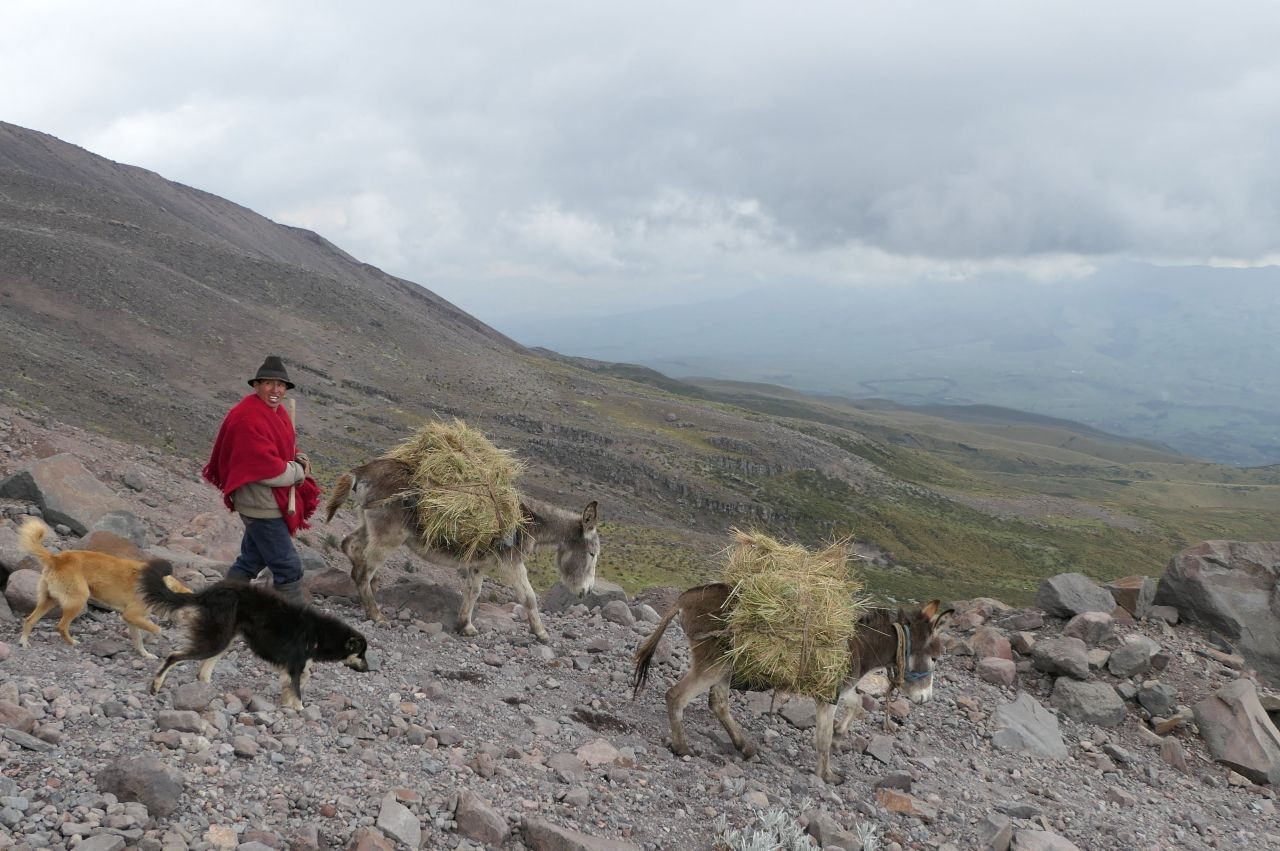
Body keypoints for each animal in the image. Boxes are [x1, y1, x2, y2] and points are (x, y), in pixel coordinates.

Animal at [17, 511, 190, 655]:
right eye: (188, 611)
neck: (161, 588)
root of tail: (56, 558)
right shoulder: (131, 614)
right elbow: (157, 629)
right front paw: (150, 640)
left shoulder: (132, 619)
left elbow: (138, 640)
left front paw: (145, 654)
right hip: (78, 600)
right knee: (61, 626)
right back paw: (72, 642)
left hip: (49, 600)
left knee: (29, 620)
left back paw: (24, 642)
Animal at [141, 560, 371, 706]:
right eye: (361, 654)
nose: (369, 670)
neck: (320, 634)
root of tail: (208, 592)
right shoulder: (295, 663)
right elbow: (298, 689)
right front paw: (297, 709)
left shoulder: (294, 665)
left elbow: (299, 680)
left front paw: (285, 701)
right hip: (216, 640)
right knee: (174, 657)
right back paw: (156, 686)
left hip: (224, 639)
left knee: (203, 671)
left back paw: (211, 692)